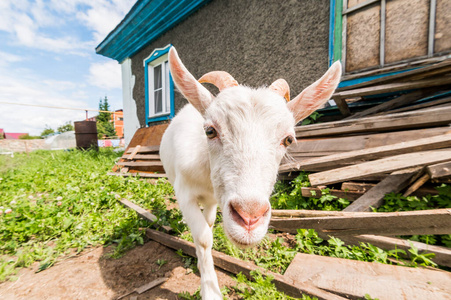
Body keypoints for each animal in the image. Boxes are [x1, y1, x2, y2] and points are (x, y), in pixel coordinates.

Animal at [161, 48, 340, 298]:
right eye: (210, 131)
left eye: (288, 139)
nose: (249, 218)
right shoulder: (184, 192)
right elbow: (204, 238)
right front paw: (210, 291)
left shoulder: (216, 199)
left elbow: (208, 228)